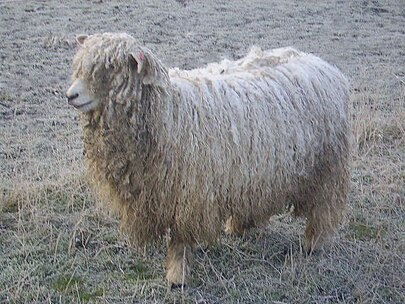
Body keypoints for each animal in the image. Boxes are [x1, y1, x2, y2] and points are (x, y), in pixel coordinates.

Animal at [65, 33, 348, 288]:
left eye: (110, 68)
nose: (71, 95)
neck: (167, 112)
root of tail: (323, 65)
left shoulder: (188, 193)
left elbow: (179, 240)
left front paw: (177, 276)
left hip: (327, 167)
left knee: (323, 208)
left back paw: (313, 243)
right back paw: (239, 225)